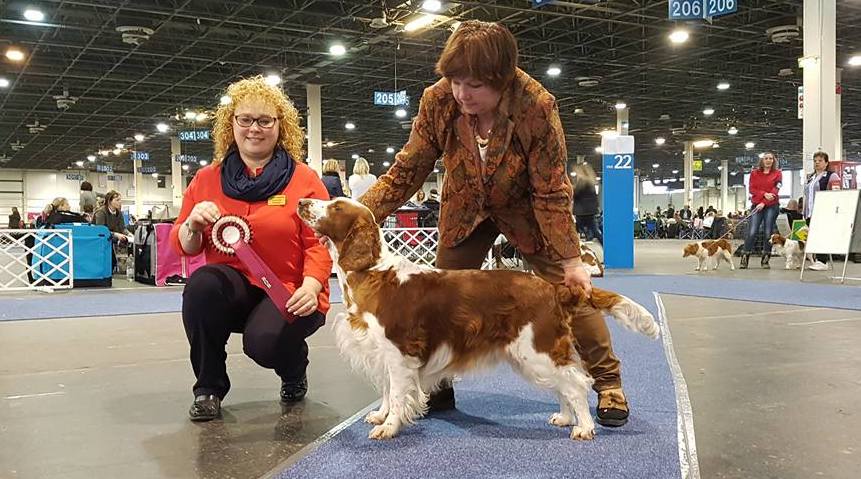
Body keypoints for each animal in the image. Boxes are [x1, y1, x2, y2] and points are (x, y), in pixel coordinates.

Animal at [298, 198, 660, 442]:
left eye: (336, 207)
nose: (302, 202)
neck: (373, 272)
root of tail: (552, 287)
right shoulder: (381, 352)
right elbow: (388, 392)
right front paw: (381, 416)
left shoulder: (400, 352)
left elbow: (399, 394)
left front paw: (390, 427)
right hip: (534, 355)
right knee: (565, 383)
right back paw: (565, 417)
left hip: (536, 349)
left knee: (575, 382)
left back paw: (584, 426)